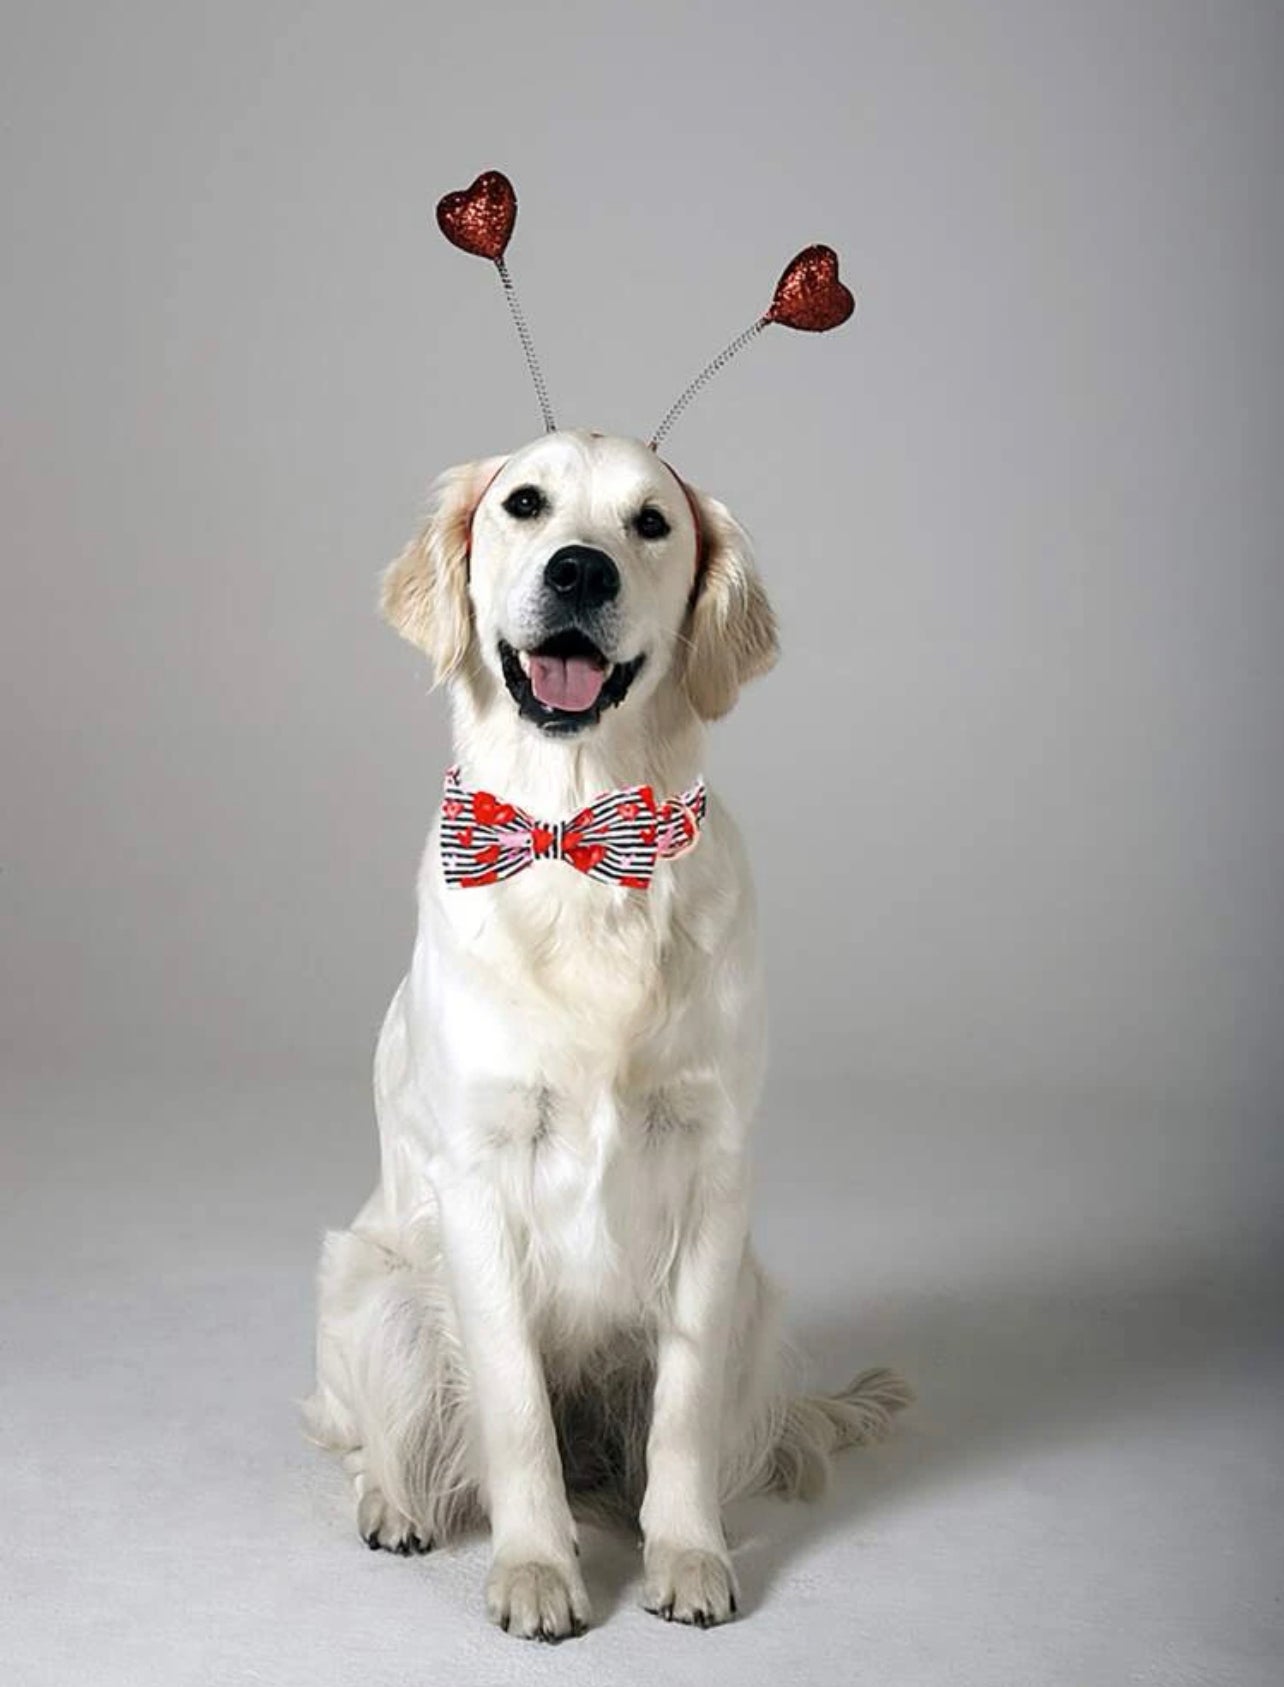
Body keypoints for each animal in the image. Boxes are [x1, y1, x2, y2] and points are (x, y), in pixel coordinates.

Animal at [307, 425, 911, 1633]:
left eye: (651, 522)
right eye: (525, 504)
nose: (580, 570)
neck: (577, 838)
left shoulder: (714, 1166)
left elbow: (682, 1413)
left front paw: (687, 1557)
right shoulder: (481, 1174)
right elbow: (512, 1412)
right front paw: (537, 1569)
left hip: (756, 1303)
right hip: (377, 1288)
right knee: (381, 1438)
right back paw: (393, 1502)